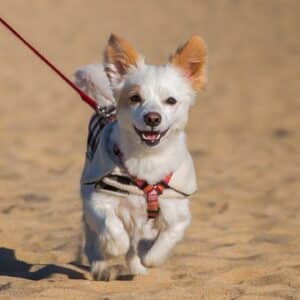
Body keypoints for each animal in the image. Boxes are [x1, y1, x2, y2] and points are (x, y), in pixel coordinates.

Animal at [74, 34, 206, 280]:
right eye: (135, 98)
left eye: (171, 101)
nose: (152, 118)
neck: (147, 159)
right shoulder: (97, 199)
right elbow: (113, 229)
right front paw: (113, 246)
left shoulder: (179, 213)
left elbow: (163, 242)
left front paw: (149, 256)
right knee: (94, 240)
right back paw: (101, 266)